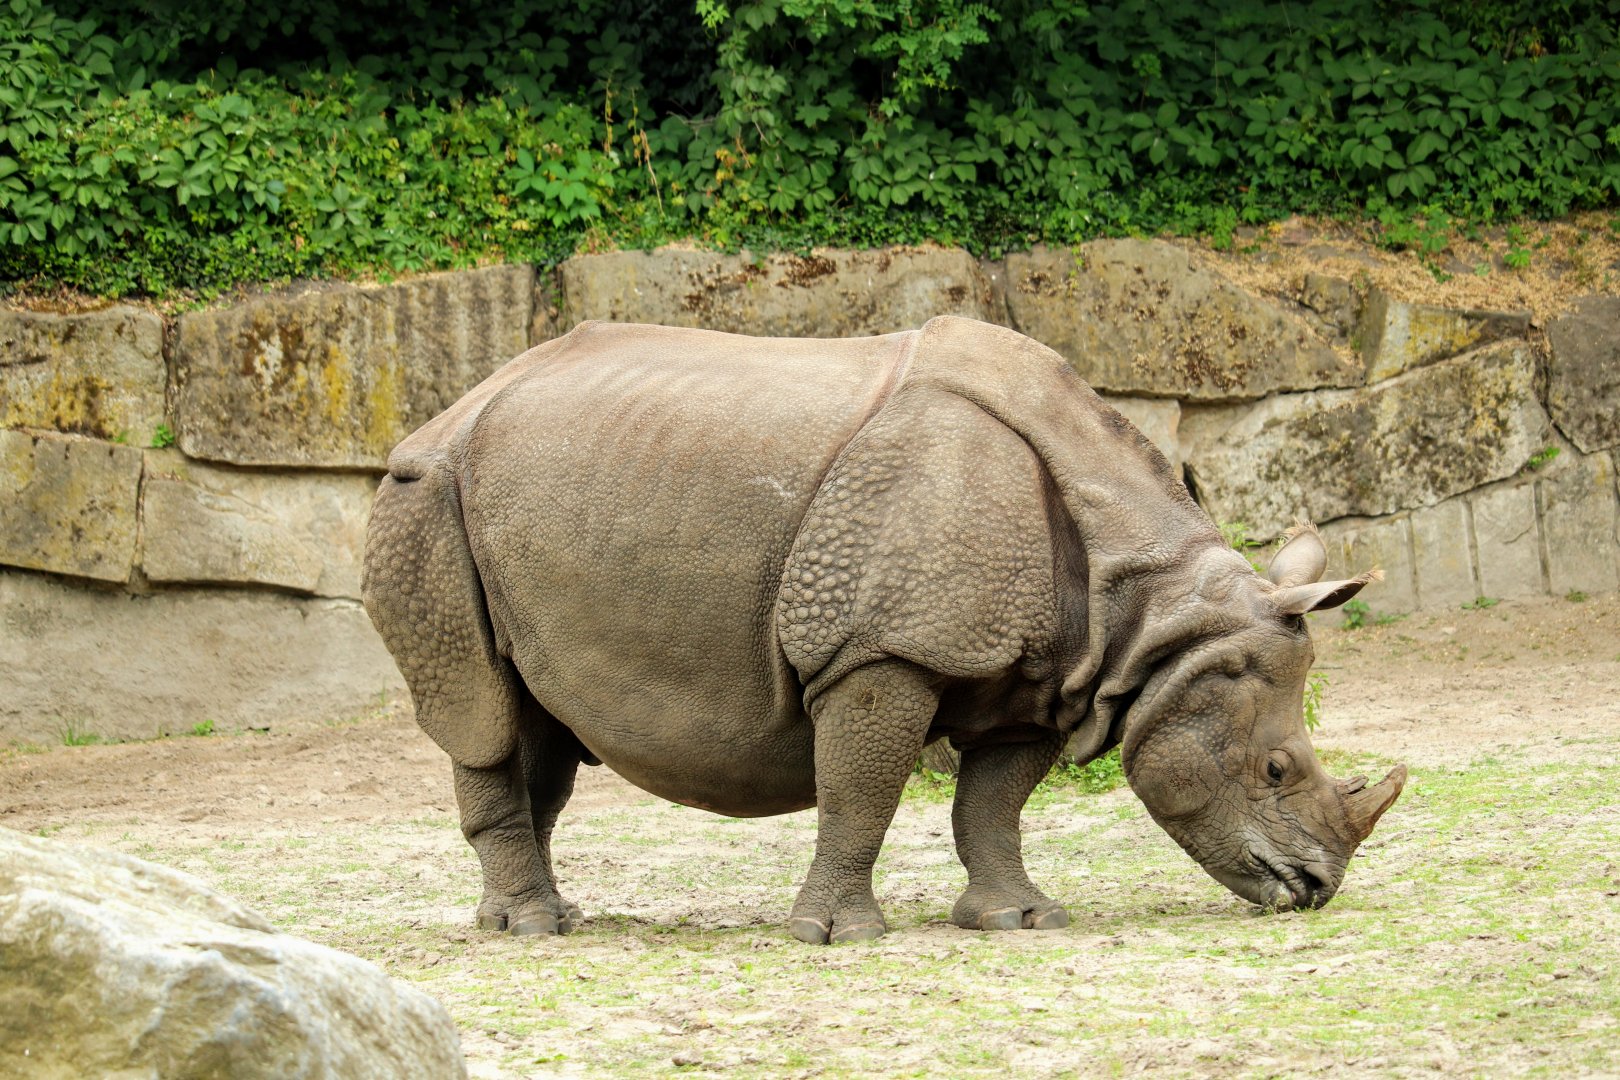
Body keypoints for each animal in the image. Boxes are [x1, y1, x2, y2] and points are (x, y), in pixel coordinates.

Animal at [363, 316, 1405, 944]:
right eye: (1276, 769)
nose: (1315, 888)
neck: (1150, 614)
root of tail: (445, 413)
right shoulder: (883, 649)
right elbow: (861, 791)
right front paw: (839, 936)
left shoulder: (1043, 674)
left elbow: (992, 802)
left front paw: (1021, 921)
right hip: (425, 498)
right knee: (482, 713)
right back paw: (530, 930)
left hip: (522, 500)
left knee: (540, 724)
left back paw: (543, 916)